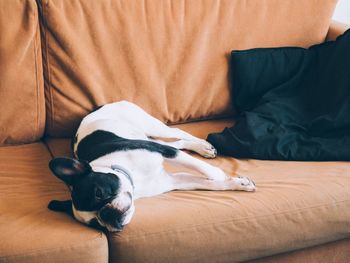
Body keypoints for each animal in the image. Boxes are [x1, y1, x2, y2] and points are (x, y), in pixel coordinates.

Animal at [49, 102, 256, 232]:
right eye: (96, 224)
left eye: (98, 193)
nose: (106, 216)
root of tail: (100, 106)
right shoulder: (175, 181)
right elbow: (207, 183)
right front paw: (237, 183)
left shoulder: (162, 152)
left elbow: (201, 168)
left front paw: (218, 174)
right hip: (145, 136)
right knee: (177, 142)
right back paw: (202, 148)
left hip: (151, 127)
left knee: (176, 133)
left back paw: (203, 146)